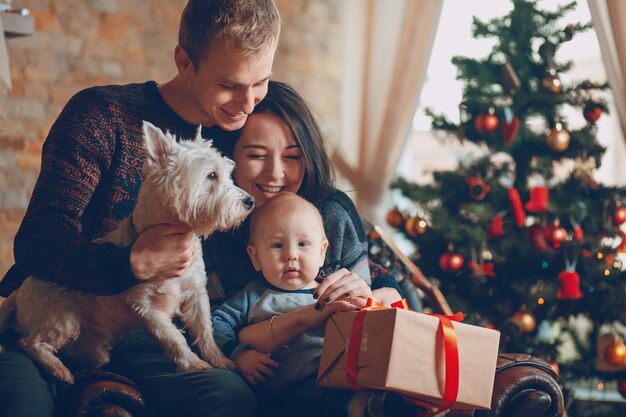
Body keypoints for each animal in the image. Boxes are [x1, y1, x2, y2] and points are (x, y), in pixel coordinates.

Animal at [0, 119, 254, 380]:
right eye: (211, 175)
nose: (250, 202)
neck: (178, 234)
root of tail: (18, 293)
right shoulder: (146, 307)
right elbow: (173, 337)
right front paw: (192, 363)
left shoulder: (196, 294)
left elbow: (205, 330)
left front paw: (220, 360)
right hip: (62, 318)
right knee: (29, 343)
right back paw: (59, 369)